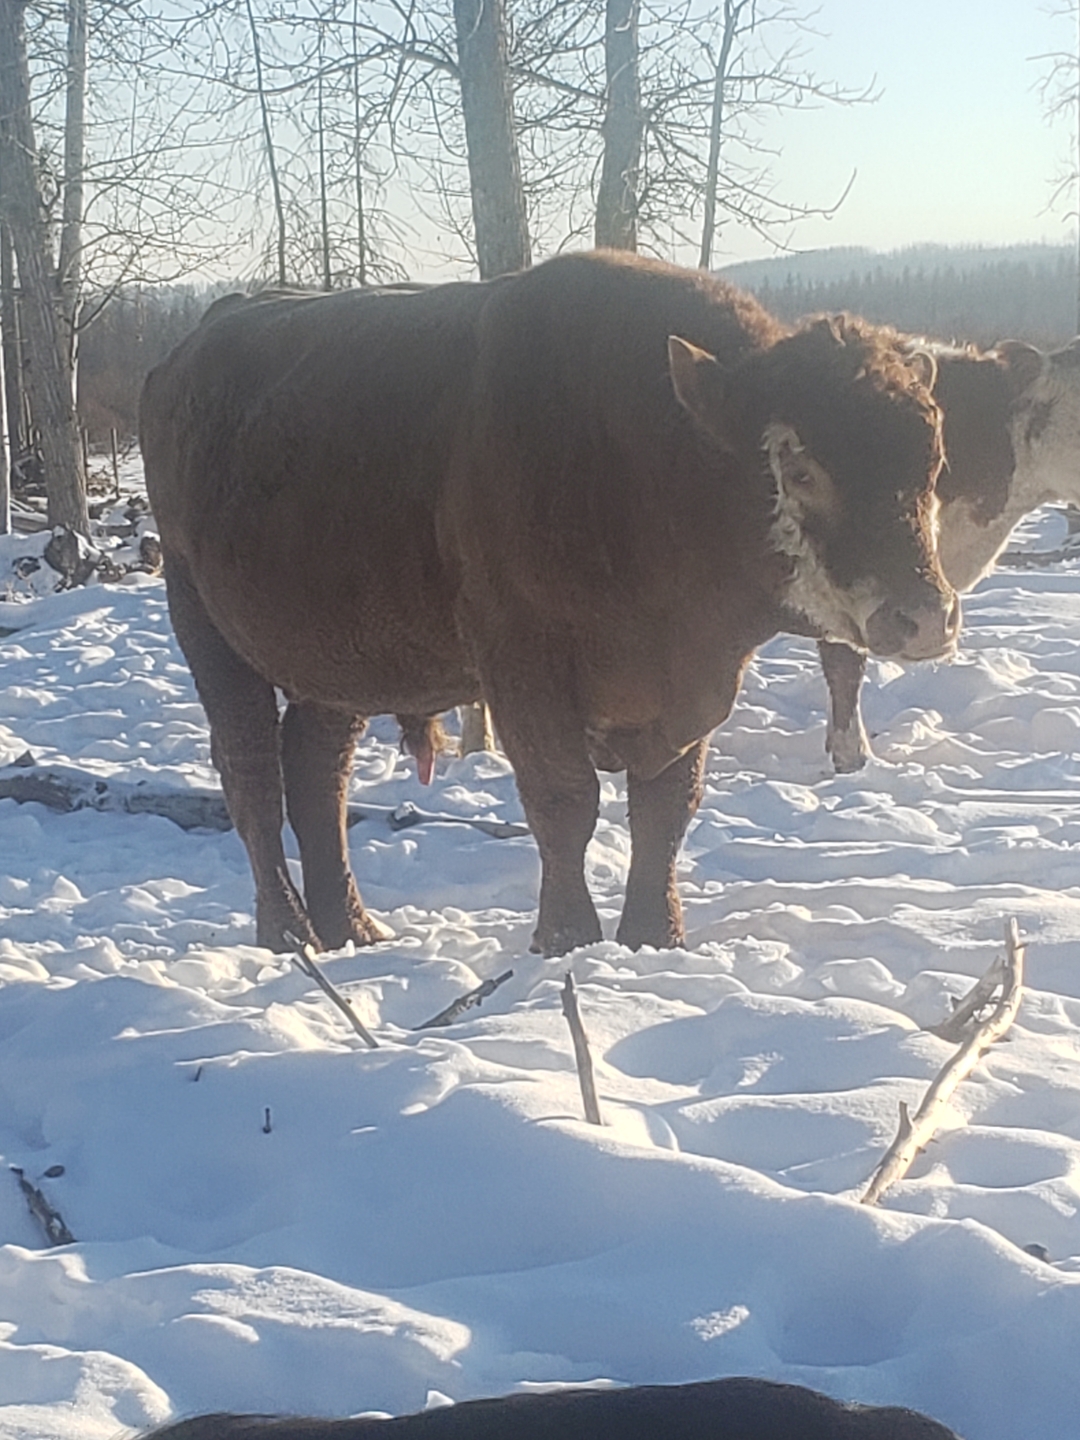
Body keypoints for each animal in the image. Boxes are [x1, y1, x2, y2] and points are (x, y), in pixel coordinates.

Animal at [141, 254, 956, 961]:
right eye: (802, 466)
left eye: (935, 463)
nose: (926, 617)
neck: (655, 462)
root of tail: (183, 355)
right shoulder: (521, 663)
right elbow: (565, 802)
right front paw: (567, 941)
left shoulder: (697, 677)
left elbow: (664, 812)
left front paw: (655, 939)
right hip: (203, 624)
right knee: (251, 772)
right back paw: (289, 934)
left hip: (339, 661)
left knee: (318, 772)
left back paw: (354, 929)